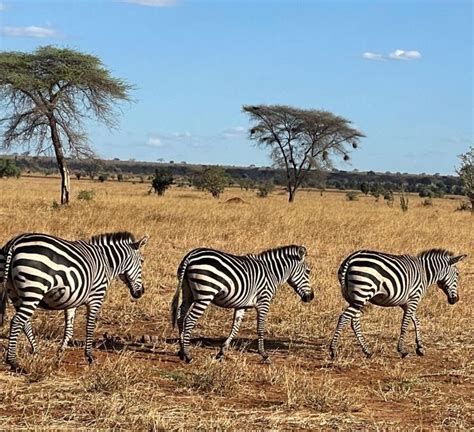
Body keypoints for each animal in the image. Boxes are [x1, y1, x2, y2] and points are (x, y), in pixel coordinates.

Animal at [0, 231, 148, 370]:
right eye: (142, 261)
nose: (141, 292)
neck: (107, 262)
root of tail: (15, 243)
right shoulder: (96, 297)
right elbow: (90, 327)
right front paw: (89, 357)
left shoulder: (72, 301)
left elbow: (69, 331)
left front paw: (59, 357)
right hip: (34, 289)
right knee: (17, 321)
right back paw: (13, 361)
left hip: (13, 292)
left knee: (25, 323)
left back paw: (36, 352)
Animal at [170, 245, 314, 362]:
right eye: (308, 271)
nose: (311, 297)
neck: (271, 272)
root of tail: (191, 255)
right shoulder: (264, 301)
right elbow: (260, 328)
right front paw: (263, 354)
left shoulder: (241, 305)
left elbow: (235, 327)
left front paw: (222, 351)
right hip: (205, 294)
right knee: (189, 319)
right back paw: (187, 355)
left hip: (187, 292)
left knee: (180, 316)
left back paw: (181, 351)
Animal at [330, 248, 466, 360]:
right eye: (457, 274)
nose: (456, 299)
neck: (425, 273)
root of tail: (350, 259)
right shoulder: (414, 298)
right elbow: (405, 323)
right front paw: (402, 350)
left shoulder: (406, 302)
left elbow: (416, 321)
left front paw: (420, 347)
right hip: (363, 292)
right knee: (344, 317)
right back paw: (333, 350)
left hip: (354, 297)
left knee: (354, 321)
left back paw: (367, 351)